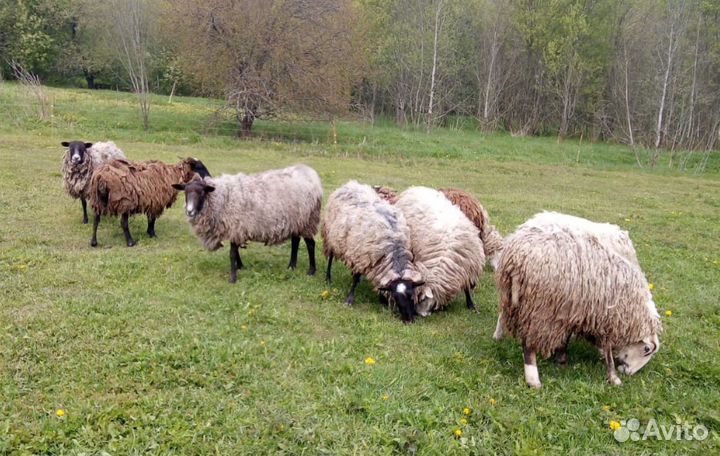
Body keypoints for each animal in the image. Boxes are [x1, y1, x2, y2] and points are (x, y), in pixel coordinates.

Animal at [171, 164, 322, 283]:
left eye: (202, 192)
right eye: (185, 192)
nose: (189, 211)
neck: (221, 198)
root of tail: (310, 172)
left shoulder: (236, 226)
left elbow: (232, 253)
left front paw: (233, 278)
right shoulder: (236, 229)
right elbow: (235, 250)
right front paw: (240, 266)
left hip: (309, 219)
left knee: (310, 244)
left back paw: (311, 271)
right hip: (297, 221)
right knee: (295, 241)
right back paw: (291, 266)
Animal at [322, 181, 424, 323]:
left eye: (411, 295)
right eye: (396, 298)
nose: (409, 320)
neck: (393, 246)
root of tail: (350, 184)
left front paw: (382, 301)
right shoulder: (361, 257)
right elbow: (355, 279)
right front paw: (349, 300)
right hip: (331, 235)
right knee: (331, 257)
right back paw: (328, 278)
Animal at [394, 186, 485, 316]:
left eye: (421, 298)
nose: (419, 314)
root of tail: (414, 188)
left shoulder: (468, 267)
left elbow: (467, 287)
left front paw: (471, 305)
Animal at [496, 214, 662, 388]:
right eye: (646, 350)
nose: (628, 372)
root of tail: (517, 258)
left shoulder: (572, 308)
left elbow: (567, 335)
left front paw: (561, 357)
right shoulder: (607, 316)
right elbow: (608, 349)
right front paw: (614, 378)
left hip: (514, 297)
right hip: (539, 307)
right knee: (529, 345)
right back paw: (533, 380)